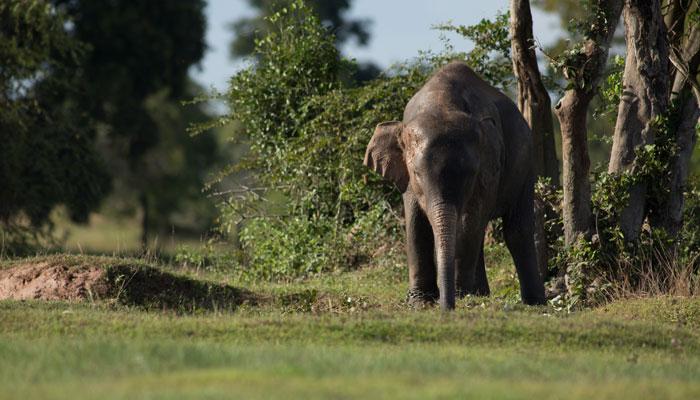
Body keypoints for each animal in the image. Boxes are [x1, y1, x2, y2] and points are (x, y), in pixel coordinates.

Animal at [364, 61, 548, 310]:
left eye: (471, 175)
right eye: (416, 174)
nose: (446, 307)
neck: (441, 103)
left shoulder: (488, 171)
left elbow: (470, 220)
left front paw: (460, 296)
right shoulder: (407, 181)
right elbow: (415, 223)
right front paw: (420, 302)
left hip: (527, 165)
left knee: (516, 230)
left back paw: (534, 303)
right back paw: (480, 294)